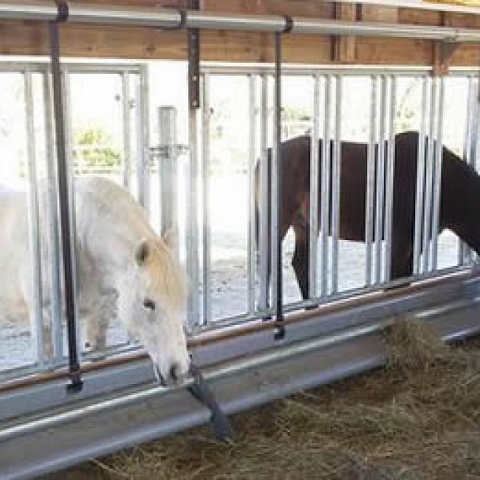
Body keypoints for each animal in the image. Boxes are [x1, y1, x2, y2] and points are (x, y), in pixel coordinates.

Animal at [256, 129, 480, 298]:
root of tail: (264, 156)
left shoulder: (416, 243)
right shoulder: (400, 242)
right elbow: (394, 282)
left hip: (304, 225)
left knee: (301, 265)